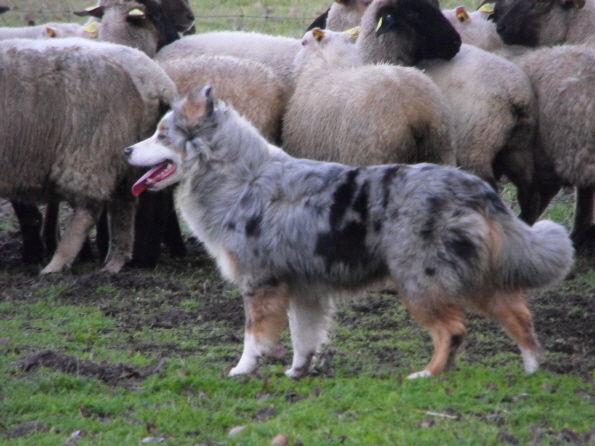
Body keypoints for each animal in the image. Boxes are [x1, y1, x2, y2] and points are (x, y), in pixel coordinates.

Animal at [0, 38, 177, 274]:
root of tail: (158, 80)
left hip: (90, 147)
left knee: (89, 209)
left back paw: (58, 263)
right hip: (122, 158)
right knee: (124, 205)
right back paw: (114, 263)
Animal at [124, 85, 572, 378]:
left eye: (161, 134)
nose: (126, 150)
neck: (240, 178)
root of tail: (473, 186)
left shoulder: (261, 281)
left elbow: (254, 335)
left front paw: (241, 370)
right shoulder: (302, 288)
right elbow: (303, 336)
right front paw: (298, 372)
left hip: (420, 282)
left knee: (453, 330)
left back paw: (428, 375)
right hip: (472, 275)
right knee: (517, 313)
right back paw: (533, 368)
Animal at [354, 0, 544, 223]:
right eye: (413, 13)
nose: (456, 42)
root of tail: (514, 92)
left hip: (476, 146)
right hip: (519, 146)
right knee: (530, 193)